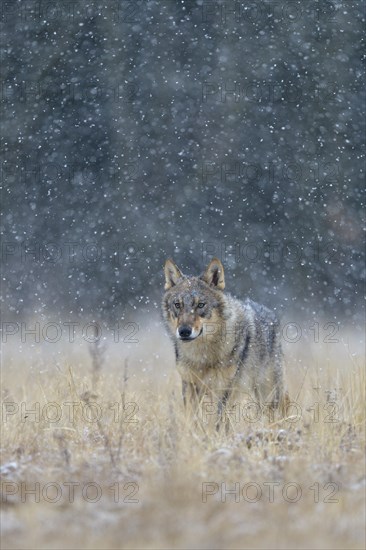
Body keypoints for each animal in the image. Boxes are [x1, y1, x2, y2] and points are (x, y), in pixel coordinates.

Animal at [163, 256, 288, 430]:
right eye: (177, 305)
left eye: (200, 305)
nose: (184, 331)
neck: (203, 356)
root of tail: (270, 314)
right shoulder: (190, 385)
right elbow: (191, 419)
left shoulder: (223, 388)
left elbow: (217, 422)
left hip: (268, 394)